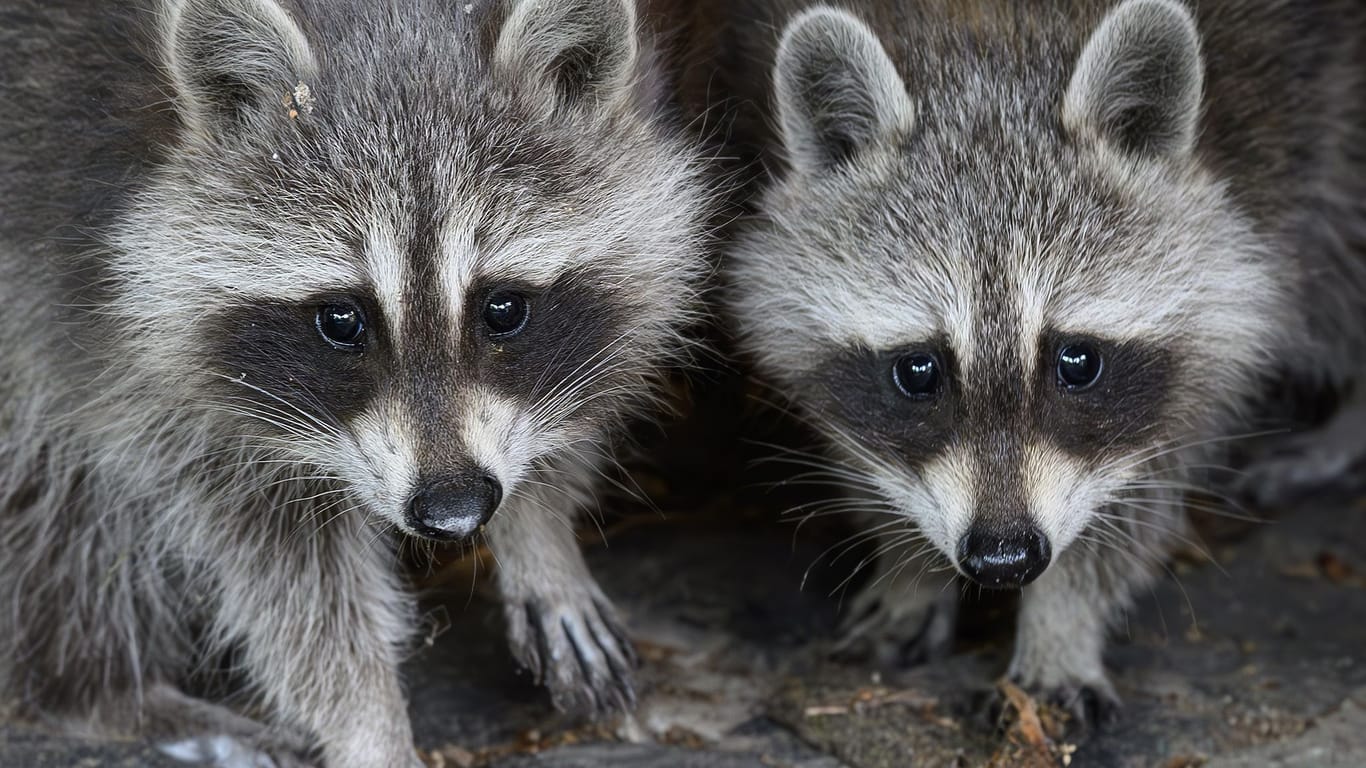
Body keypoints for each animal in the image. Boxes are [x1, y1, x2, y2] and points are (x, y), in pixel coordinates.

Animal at [0, 0, 704, 759]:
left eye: (503, 308)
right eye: (342, 318)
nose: (455, 510)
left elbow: (588, 377)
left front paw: (539, 531)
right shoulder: (123, 331)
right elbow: (287, 570)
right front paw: (369, 725)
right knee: (60, 498)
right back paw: (98, 690)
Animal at [672, 0, 1366, 721]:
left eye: (1078, 361)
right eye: (918, 370)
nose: (1004, 559)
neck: (995, 47)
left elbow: (1143, 479)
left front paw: (1062, 620)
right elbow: (867, 445)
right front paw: (909, 565)